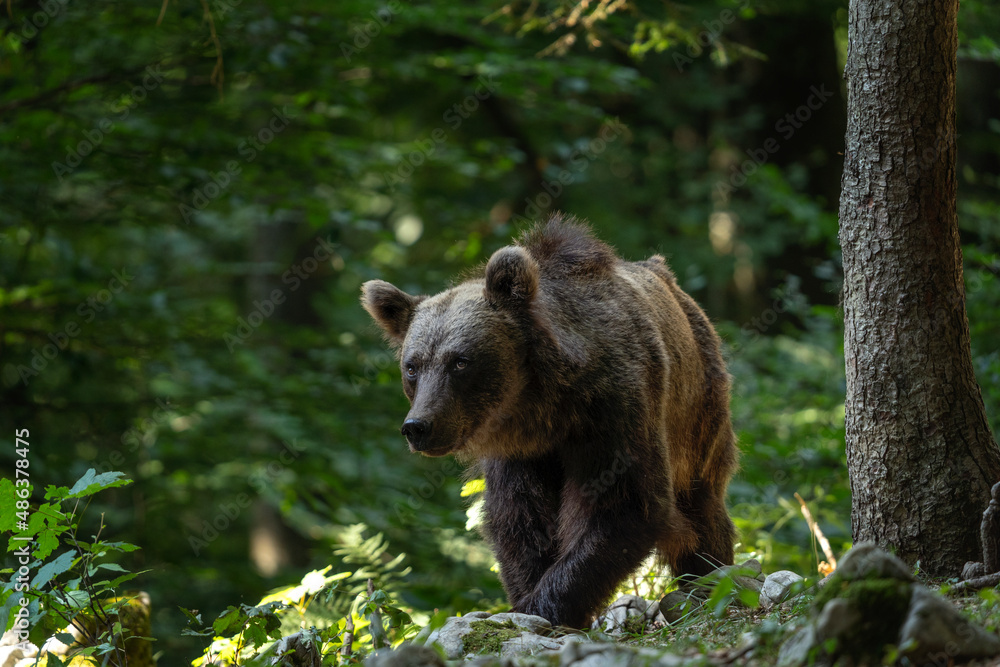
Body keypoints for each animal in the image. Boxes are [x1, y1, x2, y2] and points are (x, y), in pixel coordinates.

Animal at [364, 217, 740, 628]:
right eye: (412, 366)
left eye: (460, 361)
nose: (418, 426)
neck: (543, 407)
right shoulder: (519, 453)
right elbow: (519, 519)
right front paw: (526, 597)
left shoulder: (613, 410)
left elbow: (623, 504)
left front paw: (546, 605)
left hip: (698, 404)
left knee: (701, 501)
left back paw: (708, 575)